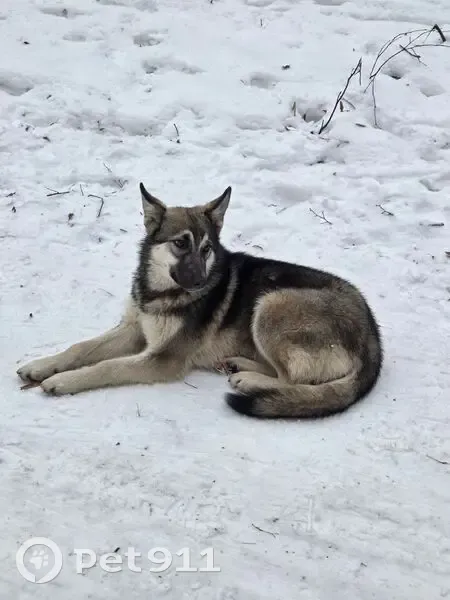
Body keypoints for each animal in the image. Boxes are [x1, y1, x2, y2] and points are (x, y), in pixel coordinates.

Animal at [17, 183, 383, 418]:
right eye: (180, 243)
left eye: (206, 249)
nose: (200, 282)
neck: (160, 293)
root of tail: (373, 337)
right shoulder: (135, 329)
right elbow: (80, 348)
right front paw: (42, 365)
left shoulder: (160, 358)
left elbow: (106, 367)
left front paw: (62, 381)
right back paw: (239, 365)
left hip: (272, 305)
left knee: (295, 380)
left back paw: (249, 381)